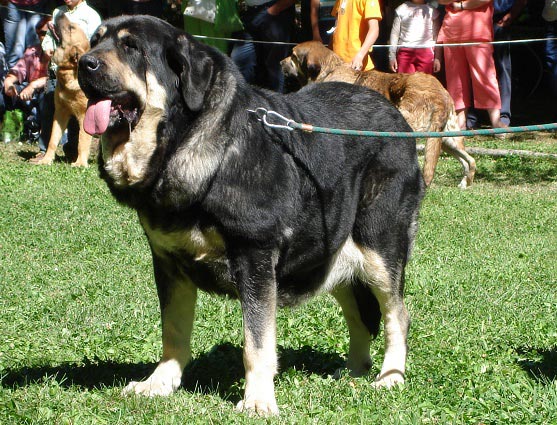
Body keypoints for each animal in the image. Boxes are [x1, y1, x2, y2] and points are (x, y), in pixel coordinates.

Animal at [33, 13, 92, 166]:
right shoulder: (60, 113)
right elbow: (53, 140)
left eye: (71, 28)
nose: (60, 13)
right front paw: (47, 160)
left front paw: (80, 164)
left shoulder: (85, 115)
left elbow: (82, 141)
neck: (69, 71)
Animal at [78, 15, 424, 414]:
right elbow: (173, 333)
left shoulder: (254, 256)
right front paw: (160, 383)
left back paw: (390, 377)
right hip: (329, 256)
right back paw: (352, 371)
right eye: (96, 41)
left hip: (380, 249)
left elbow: (256, 342)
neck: (183, 141)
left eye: (130, 47)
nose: (83, 63)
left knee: (397, 314)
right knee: (359, 313)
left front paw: (258, 400)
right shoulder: (168, 262)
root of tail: (397, 119)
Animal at [280, 42, 476, 188]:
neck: (330, 70)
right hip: (447, 139)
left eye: (293, 55)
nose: (281, 62)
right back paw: (465, 183)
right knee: (470, 160)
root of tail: (439, 94)